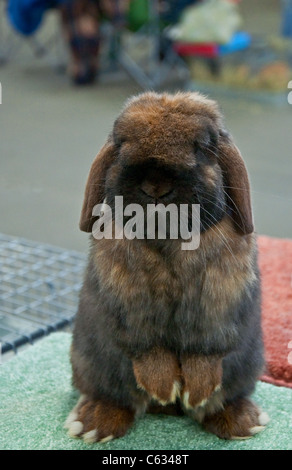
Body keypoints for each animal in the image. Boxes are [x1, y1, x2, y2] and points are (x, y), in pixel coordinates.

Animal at [64, 92, 270, 444]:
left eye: (203, 146)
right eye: (121, 144)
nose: (156, 185)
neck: (166, 236)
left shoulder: (217, 305)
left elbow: (205, 352)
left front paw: (195, 392)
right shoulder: (129, 306)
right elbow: (149, 349)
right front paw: (162, 388)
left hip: (245, 366)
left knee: (219, 399)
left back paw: (241, 421)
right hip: (93, 362)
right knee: (117, 397)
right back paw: (94, 422)